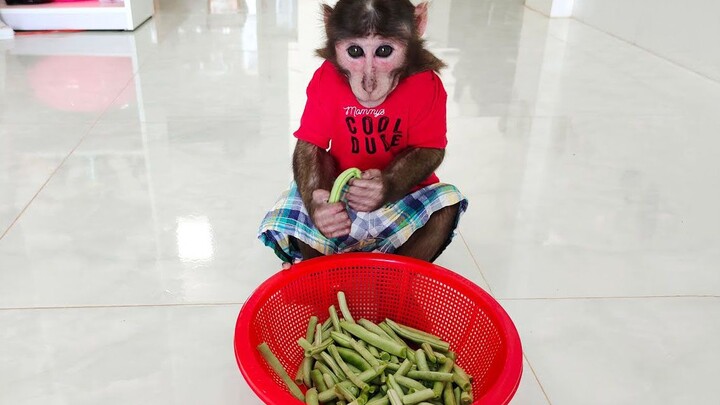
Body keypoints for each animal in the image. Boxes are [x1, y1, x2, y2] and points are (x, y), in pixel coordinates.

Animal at [258, 0, 468, 266]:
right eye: (355, 51)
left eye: (384, 51)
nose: (369, 84)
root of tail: (360, 246)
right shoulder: (321, 79)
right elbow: (310, 144)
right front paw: (323, 213)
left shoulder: (432, 87)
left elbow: (431, 148)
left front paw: (377, 190)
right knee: (293, 210)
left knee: (444, 207)